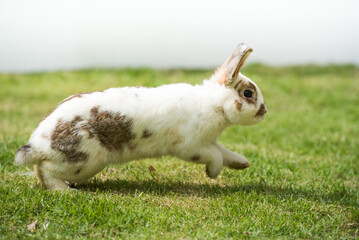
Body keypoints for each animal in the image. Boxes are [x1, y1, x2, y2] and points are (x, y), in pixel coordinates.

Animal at [14, 42, 268, 189]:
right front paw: (212, 174)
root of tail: (38, 144)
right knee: (44, 170)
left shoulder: (209, 141)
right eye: (248, 93)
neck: (213, 103)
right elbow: (215, 156)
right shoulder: (192, 147)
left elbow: (225, 152)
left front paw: (242, 163)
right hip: (83, 162)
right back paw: (66, 191)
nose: (265, 111)